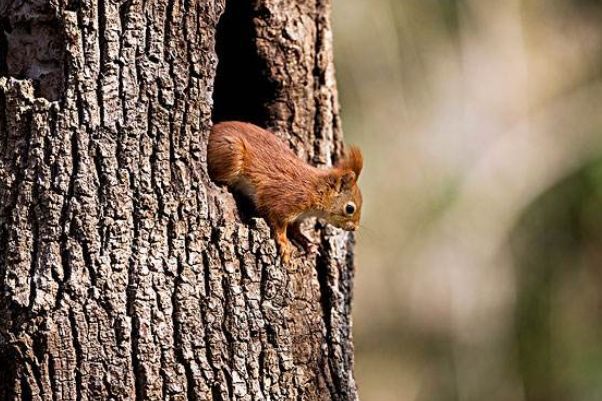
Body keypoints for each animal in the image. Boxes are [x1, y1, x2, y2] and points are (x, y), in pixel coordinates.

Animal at [210, 119, 360, 262]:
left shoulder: (297, 217)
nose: (355, 228)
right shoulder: (285, 202)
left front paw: (307, 243)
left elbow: (295, 230)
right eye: (350, 208)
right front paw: (284, 245)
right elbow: (278, 223)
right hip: (232, 152)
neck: (316, 191)